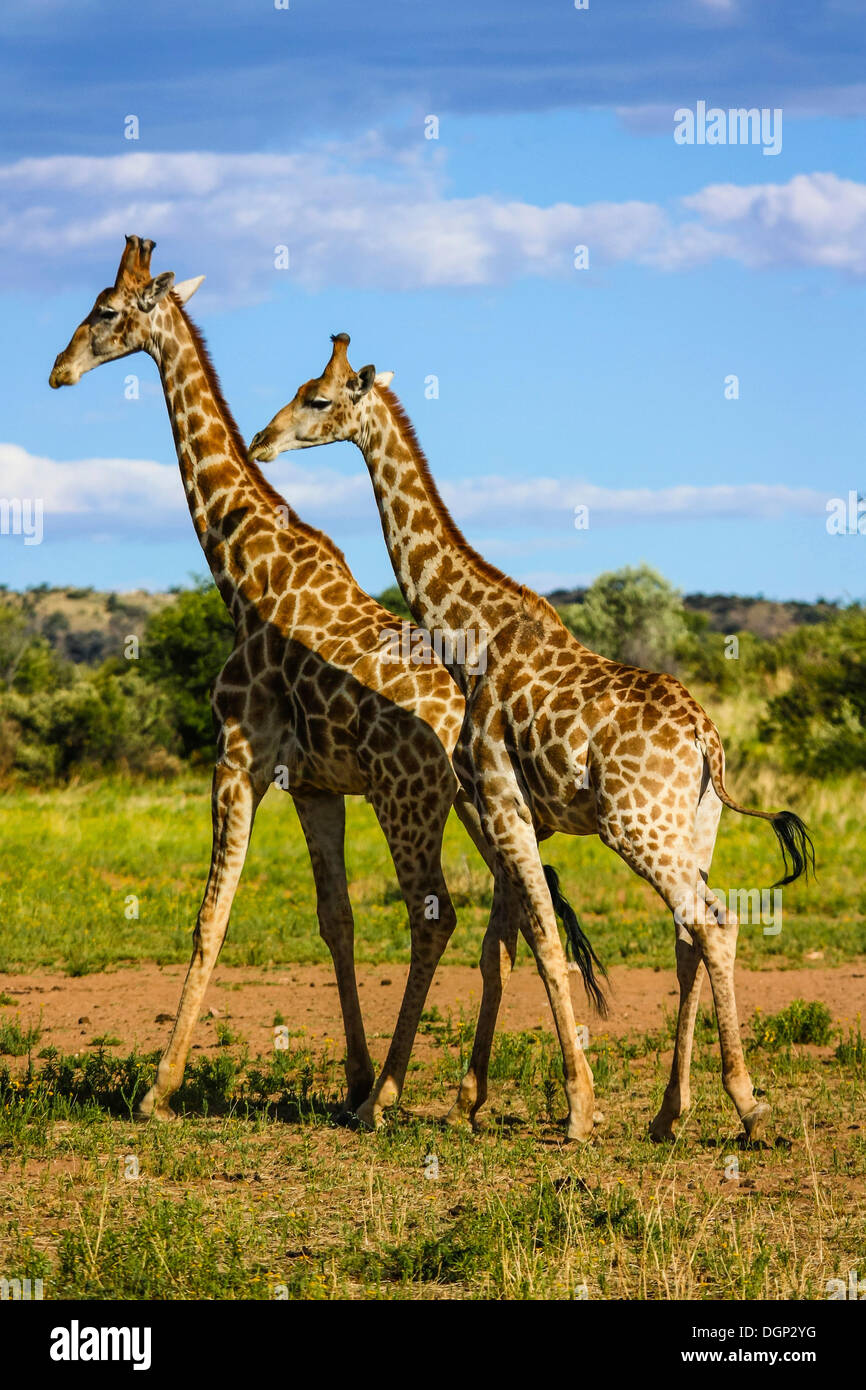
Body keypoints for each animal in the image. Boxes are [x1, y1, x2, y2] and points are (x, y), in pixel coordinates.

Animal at [48, 238, 470, 1128]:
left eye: (105, 310)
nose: (58, 371)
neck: (238, 569)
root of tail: (461, 715)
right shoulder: (313, 785)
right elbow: (336, 920)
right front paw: (350, 1075)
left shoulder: (235, 757)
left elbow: (210, 915)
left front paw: (158, 1089)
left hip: (407, 802)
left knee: (436, 916)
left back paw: (391, 1099)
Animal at [248, 332, 815, 1143]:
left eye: (317, 399)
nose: (261, 442)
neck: (471, 630)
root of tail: (707, 743)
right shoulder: (512, 813)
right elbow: (503, 944)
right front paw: (471, 1101)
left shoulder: (501, 799)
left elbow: (545, 941)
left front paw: (578, 1110)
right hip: (694, 825)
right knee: (688, 935)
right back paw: (668, 1114)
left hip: (636, 825)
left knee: (714, 923)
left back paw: (747, 1106)